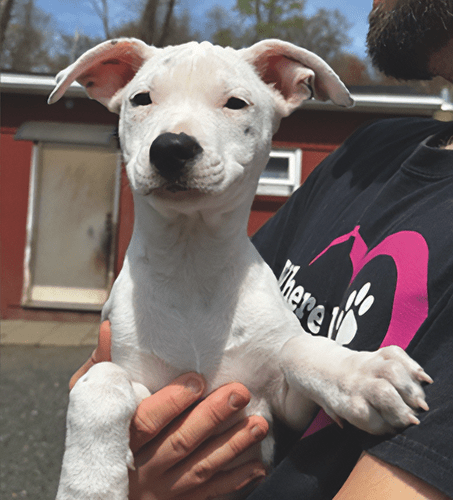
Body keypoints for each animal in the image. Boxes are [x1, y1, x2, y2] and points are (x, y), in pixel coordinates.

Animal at [50, 40, 430, 500]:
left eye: (235, 103)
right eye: (141, 99)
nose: (171, 147)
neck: (191, 262)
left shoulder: (282, 408)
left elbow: (299, 349)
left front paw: (364, 374)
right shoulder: (145, 387)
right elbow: (100, 380)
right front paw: (90, 482)